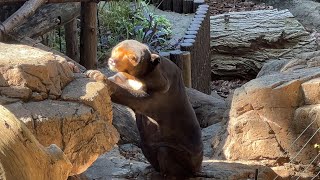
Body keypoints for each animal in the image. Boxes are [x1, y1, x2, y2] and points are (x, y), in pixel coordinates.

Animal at [86, 39, 204, 179]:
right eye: (116, 49)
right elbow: (119, 79)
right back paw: (151, 169)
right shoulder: (126, 78)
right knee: (147, 148)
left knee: (165, 153)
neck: (141, 76)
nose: (112, 61)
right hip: (149, 146)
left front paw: (100, 77)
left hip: (184, 155)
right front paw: (91, 72)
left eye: (132, 58)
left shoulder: (161, 89)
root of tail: (198, 167)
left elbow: (135, 98)